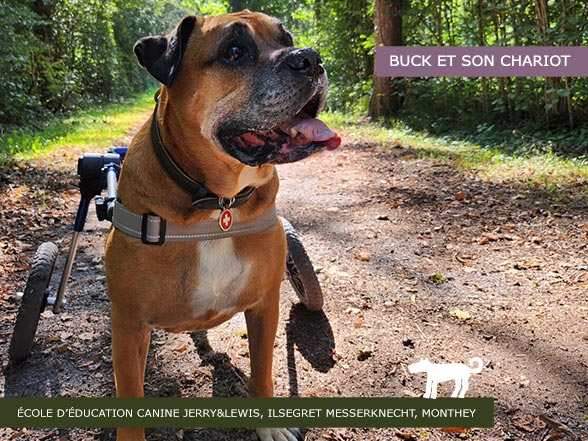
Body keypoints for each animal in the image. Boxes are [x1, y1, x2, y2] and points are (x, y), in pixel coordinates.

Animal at [103, 10, 338, 440]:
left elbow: (262, 372)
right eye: (233, 51)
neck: (215, 205)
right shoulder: (128, 326)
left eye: (287, 38)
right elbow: (129, 400)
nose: (310, 57)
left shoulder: (264, 306)